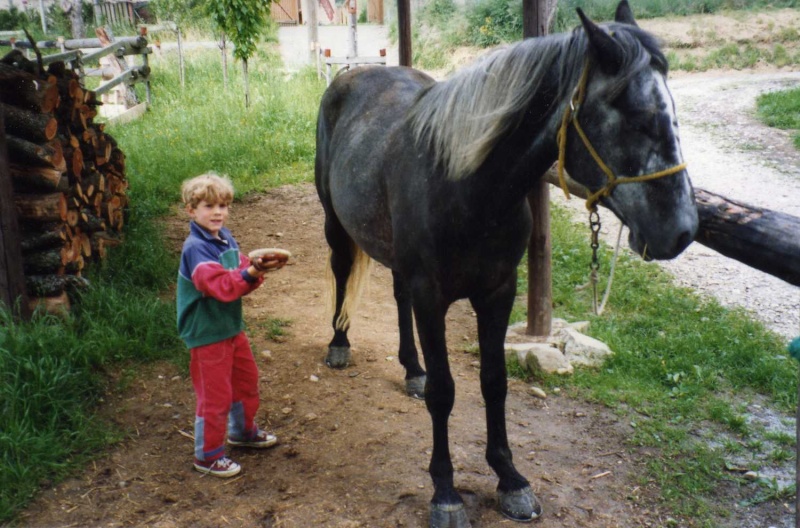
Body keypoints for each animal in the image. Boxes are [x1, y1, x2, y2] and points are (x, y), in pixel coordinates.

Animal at [316, 2, 696, 524]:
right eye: (637, 118)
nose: (683, 230)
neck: (465, 185)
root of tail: (351, 77)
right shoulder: (432, 296)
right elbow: (445, 392)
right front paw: (446, 493)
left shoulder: (498, 292)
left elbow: (494, 383)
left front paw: (510, 479)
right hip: (336, 223)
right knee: (340, 272)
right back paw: (339, 344)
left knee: (396, 296)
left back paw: (411, 368)